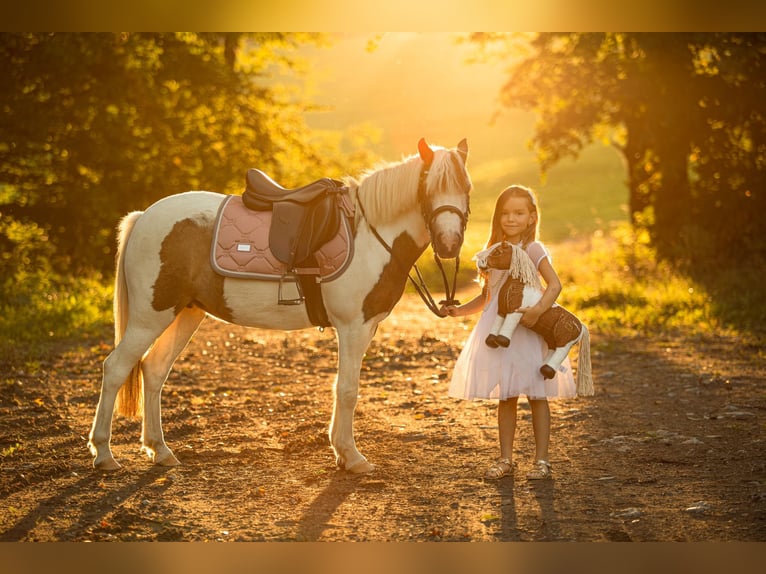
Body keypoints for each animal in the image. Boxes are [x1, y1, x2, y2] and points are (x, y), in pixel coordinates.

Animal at [90, 138, 474, 472]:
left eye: (466, 187)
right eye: (429, 186)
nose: (449, 243)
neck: (371, 234)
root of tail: (144, 216)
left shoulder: (366, 327)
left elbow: (342, 388)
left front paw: (341, 452)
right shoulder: (353, 327)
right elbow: (347, 390)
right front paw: (351, 457)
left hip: (185, 314)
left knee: (154, 371)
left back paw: (160, 450)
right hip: (150, 316)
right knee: (117, 367)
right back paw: (104, 453)